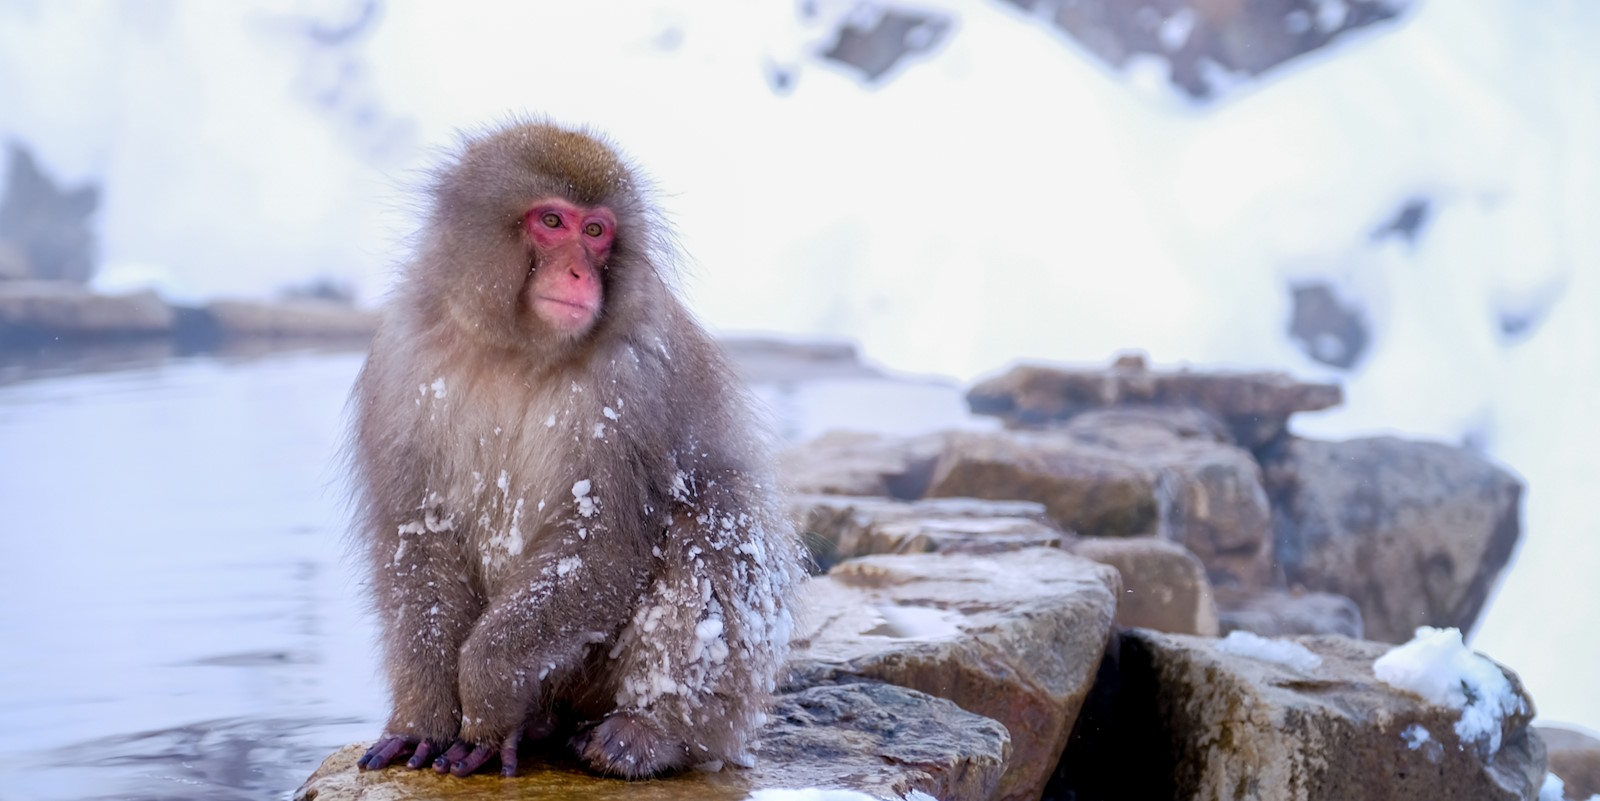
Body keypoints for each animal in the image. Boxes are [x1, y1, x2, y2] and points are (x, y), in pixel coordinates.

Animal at [345, 121, 805, 780]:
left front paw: (485, 701)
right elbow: (417, 539)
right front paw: (422, 720)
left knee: (717, 515)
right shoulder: (402, 362)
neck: (515, 350)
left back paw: (647, 732)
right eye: (552, 222)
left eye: (595, 232)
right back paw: (539, 724)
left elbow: (602, 544)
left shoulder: (633, 383)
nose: (579, 276)